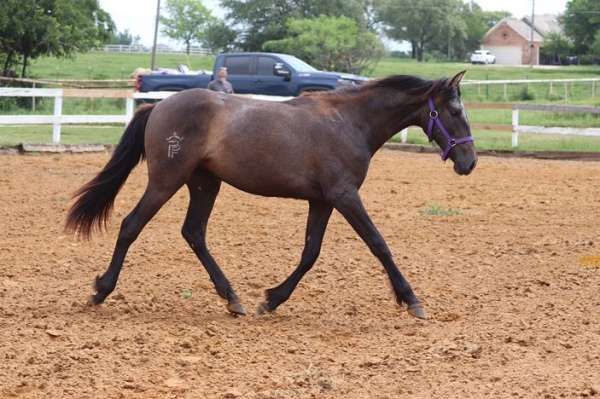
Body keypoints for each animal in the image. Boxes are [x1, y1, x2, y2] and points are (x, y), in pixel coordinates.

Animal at [65, 72, 478, 322]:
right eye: (454, 110)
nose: (469, 161)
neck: (350, 122)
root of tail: (159, 105)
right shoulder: (345, 196)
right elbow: (379, 244)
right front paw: (413, 301)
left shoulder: (322, 201)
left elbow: (310, 253)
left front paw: (272, 298)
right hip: (167, 180)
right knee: (131, 225)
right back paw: (101, 290)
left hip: (204, 184)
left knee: (194, 233)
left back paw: (233, 299)